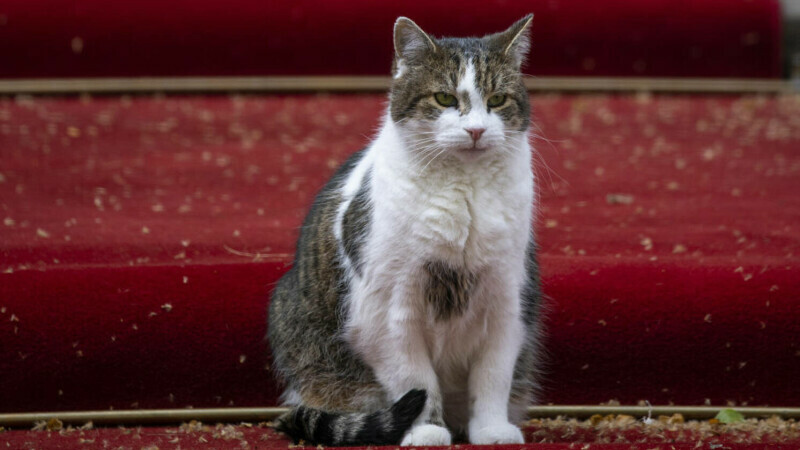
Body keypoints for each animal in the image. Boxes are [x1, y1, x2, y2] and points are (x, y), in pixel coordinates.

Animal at [268, 14, 544, 446]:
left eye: (497, 100)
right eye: (445, 99)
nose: (477, 130)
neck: (464, 191)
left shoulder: (507, 299)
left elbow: (493, 376)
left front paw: (492, 429)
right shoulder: (387, 311)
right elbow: (415, 380)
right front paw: (426, 430)